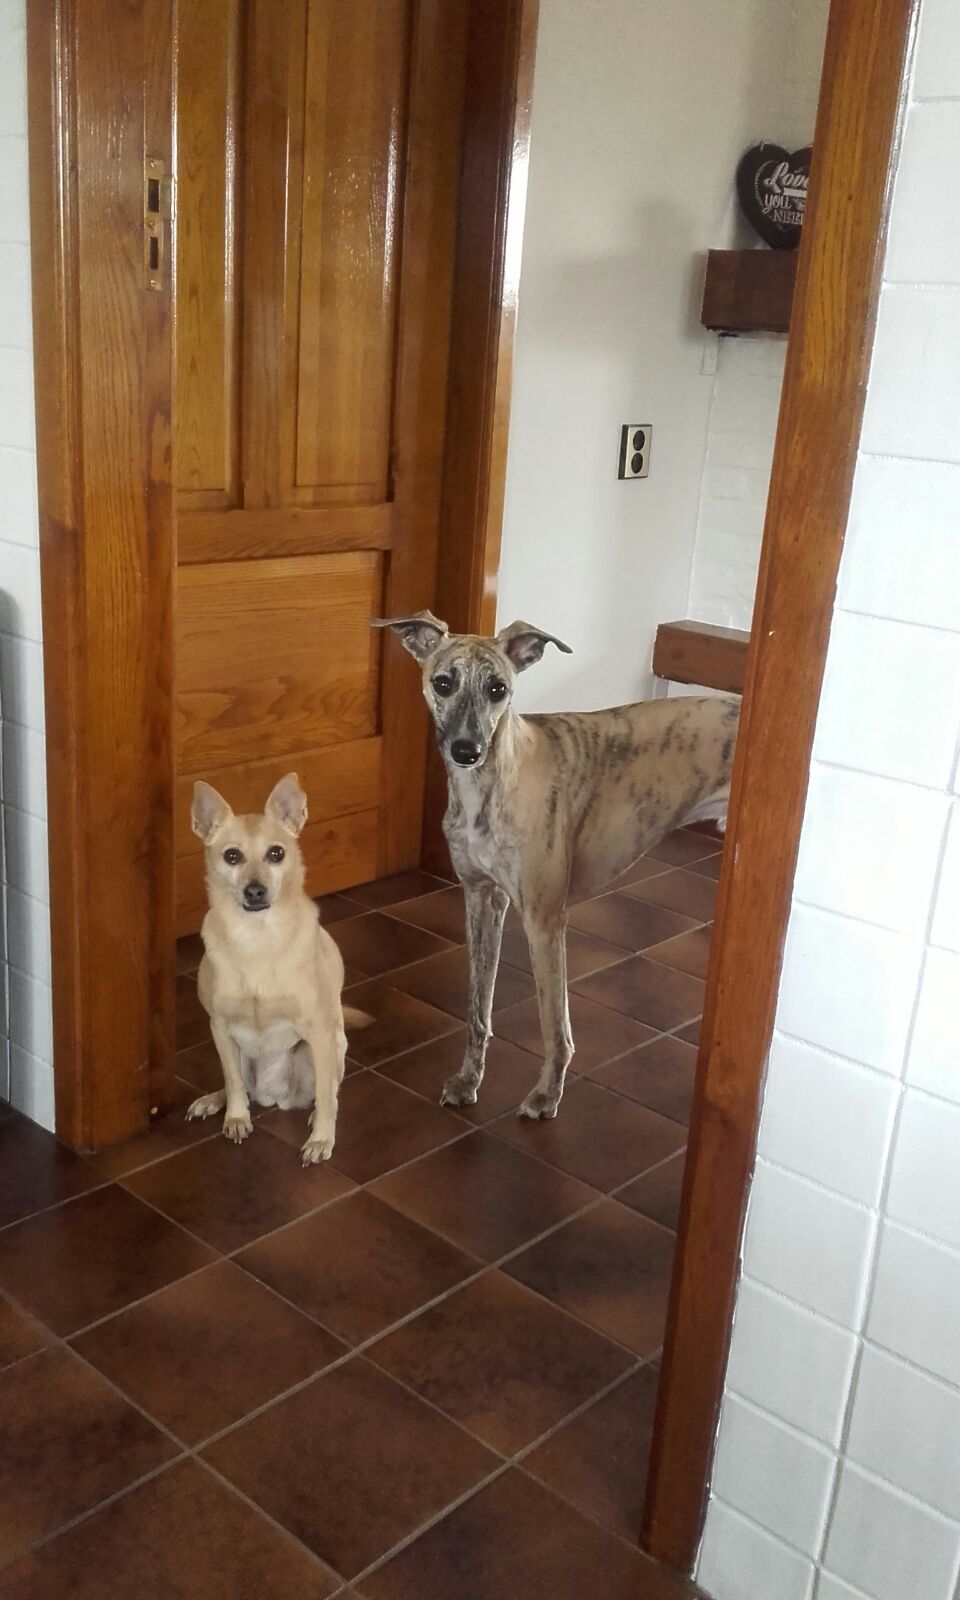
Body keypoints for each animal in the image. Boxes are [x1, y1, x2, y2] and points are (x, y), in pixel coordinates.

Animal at [185, 773, 362, 1164]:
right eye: (232, 856)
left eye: (276, 853)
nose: (255, 891)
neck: (256, 937)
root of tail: (274, 1097)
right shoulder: (220, 1026)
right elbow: (233, 1081)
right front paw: (236, 1118)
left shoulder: (319, 1031)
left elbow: (326, 1095)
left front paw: (321, 1139)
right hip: (235, 1049)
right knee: (236, 1082)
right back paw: (213, 1102)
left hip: (325, 1046)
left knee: (329, 1090)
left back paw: (315, 1116)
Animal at [374, 612, 739, 1120]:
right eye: (443, 682)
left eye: (498, 689)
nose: (467, 751)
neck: (493, 783)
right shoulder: (482, 899)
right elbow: (477, 1008)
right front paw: (468, 1081)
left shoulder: (544, 920)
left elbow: (553, 1024)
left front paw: (548, 1094)